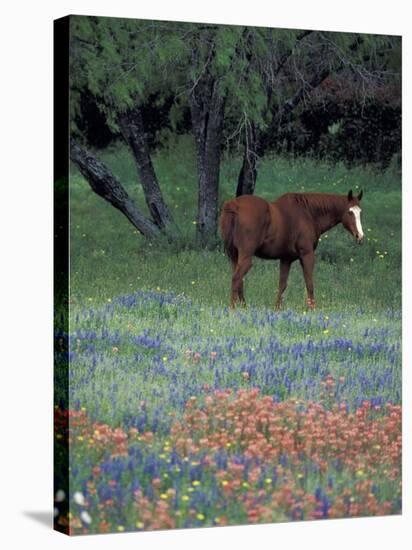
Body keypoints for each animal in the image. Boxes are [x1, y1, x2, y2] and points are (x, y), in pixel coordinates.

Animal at [220, 190, 362, 310]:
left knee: (239, 280)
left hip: (234, 256)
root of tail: (233, 205)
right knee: (236, 278)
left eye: (360, 212)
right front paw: (312, 309)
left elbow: (282, 284)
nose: (360, 235)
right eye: (350, 212)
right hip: (246, 257)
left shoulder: (286, 259)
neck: (309, 213)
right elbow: (309, 283)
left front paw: (277, 309)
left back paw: (244, 307)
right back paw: (233, 309)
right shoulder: (307, 255)